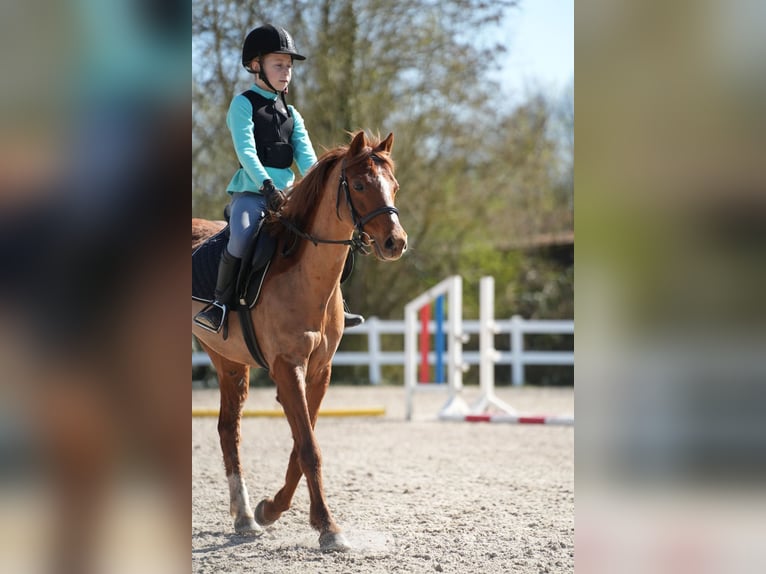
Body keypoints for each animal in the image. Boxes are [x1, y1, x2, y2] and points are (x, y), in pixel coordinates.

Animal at [192, 131, 407, 551]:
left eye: (394, 186)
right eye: (360, 185)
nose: (396, 242)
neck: (307, 277)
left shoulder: (319, 372)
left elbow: (300, 447)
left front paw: (270, 509)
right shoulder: (287, 367)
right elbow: (308, 447)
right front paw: (328, 527)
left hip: (228, 360)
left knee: (228, 430)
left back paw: (244, 517)